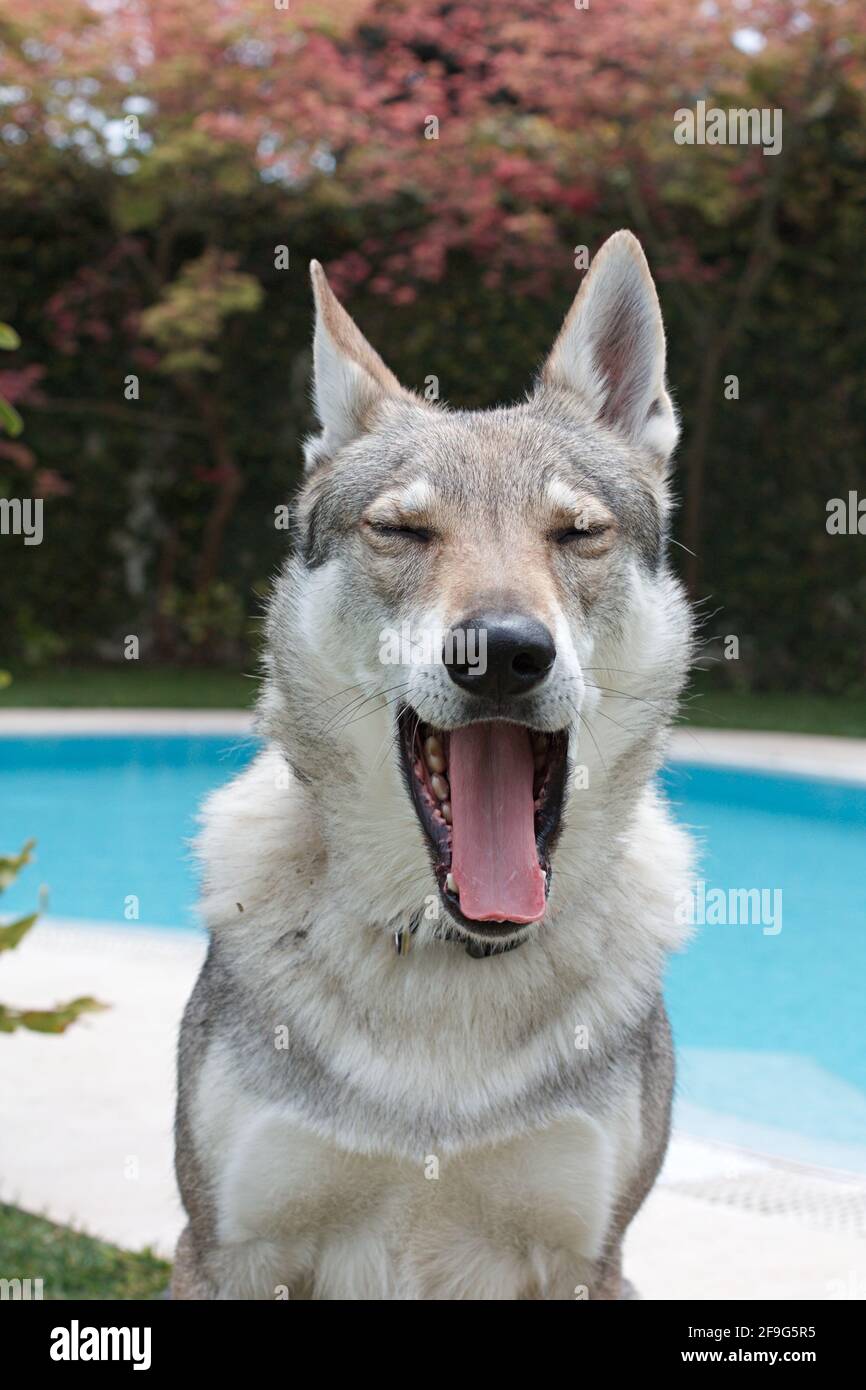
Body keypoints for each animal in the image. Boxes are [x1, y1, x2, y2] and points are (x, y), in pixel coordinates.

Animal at [172, 230, 694, 1300]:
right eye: (403, 530)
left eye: (577, 533)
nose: (500, 651)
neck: (452, 960)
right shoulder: (227, 1250)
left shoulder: (588, 1261)